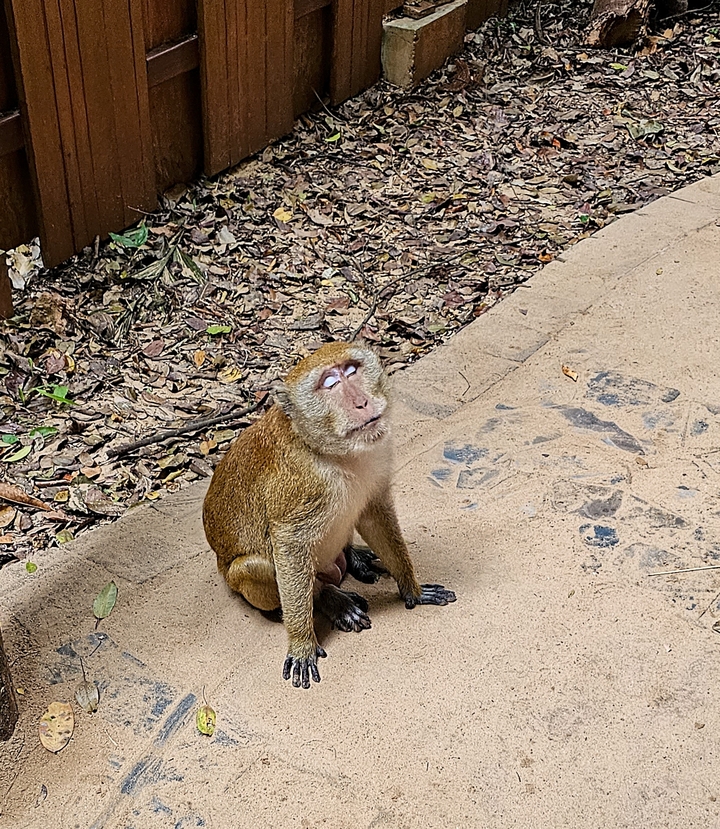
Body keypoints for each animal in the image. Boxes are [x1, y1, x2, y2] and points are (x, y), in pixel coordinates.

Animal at [202, 341, 456, 689]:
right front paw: (301, 642)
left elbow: (374, 514)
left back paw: (354, 558)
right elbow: (287, 542)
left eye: (351, 370)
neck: (332, 453)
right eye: (330, 383)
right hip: (240, 578)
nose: (362, 402)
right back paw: (331, 600)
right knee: (254, 567)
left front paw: (412, 590)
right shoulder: (301, 484)